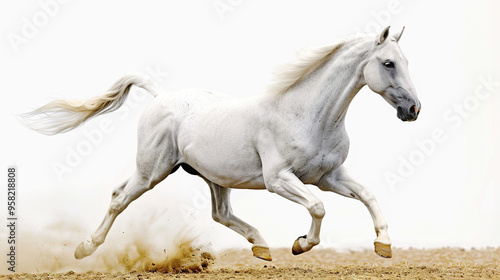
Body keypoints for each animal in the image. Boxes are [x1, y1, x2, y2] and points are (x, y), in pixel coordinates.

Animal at [24, 26, 422, 260]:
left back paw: (261, 247)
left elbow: (367, 195)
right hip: (151, 171)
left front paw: (384, 246)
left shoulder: (328, 176)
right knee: (119, 197)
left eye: (405, 61)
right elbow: (319, 208)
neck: (308, 116)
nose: (413, 110)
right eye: (388, 63)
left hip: (214, 177)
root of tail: (160, 97)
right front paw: (300, 245)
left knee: (221, 213)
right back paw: (84, 249)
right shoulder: (280, 180)